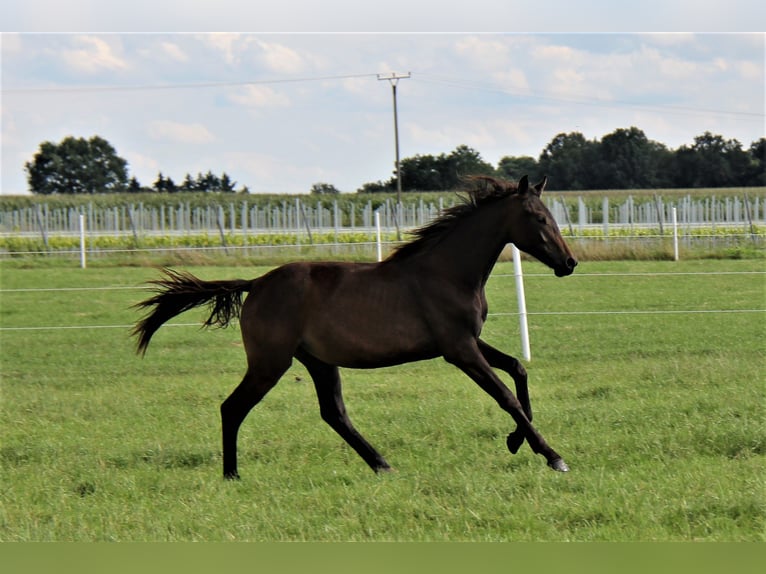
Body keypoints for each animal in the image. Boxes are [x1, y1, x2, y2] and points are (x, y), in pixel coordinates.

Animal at [132, 175, 578, 479]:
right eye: (538, 217)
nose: (569, 263)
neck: (448, 273)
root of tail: (256, 283)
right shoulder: (459, 349)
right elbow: (506, 396)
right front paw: (553, 455)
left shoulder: (469, 342)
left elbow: (518, 369)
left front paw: (517, 442)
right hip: (269, 363)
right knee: (233, 407)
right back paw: (232, 474)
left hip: (317, 361)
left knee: (334, 413)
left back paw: (382, 465)